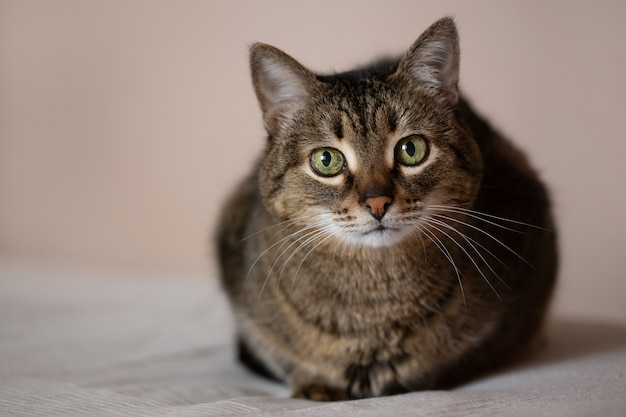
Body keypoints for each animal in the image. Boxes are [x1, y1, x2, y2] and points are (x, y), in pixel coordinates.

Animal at [216, 17, 556, 400]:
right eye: (326, 160)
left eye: (412, 149)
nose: (376, 201)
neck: (375, 303)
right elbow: (285, 357)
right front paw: (315, 385)